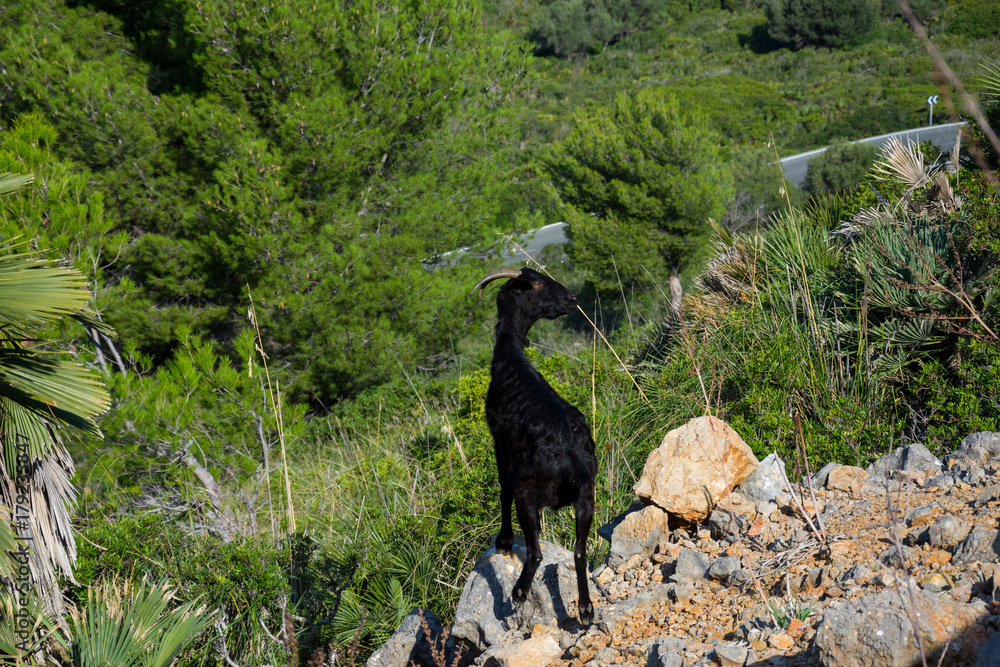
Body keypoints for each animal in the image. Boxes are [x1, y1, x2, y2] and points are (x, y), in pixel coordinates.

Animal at [471, 267, 597, 624]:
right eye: (537, 283)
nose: (572, 298)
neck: (511, 356)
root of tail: (570, 456)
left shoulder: (499, 442)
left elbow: (502, 489)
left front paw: (503, 542)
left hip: (529, 492)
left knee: (537, 552)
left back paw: (518, 593)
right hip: (587, 496)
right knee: (580, 552)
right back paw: (585, 609)